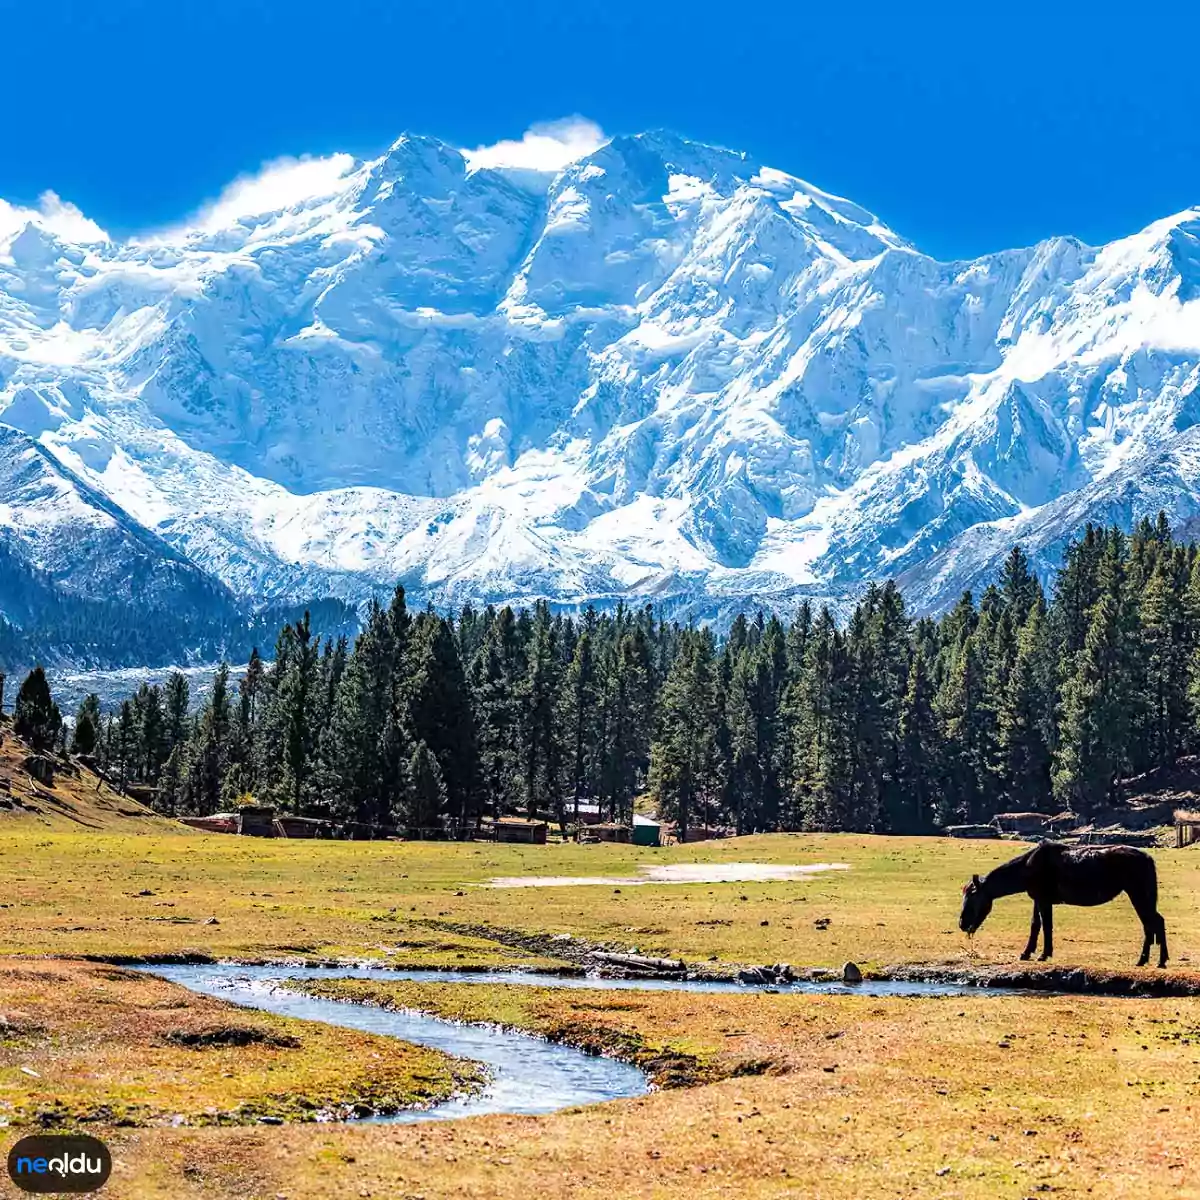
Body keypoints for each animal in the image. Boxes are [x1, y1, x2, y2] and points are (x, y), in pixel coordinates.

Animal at [960, 840, 1166, 969]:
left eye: (972, 894)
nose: (962, 924)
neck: (1027, 866)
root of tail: (1148, 858)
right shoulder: (1038, 900)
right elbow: (1036, 925)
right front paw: (1027, 953)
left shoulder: (1044, 901)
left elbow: (1046, 927)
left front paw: (1043, 955)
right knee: (1152, 924)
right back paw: (1148, 960)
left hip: (1138, 895)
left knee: (1153, 923)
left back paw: (1155, 960)